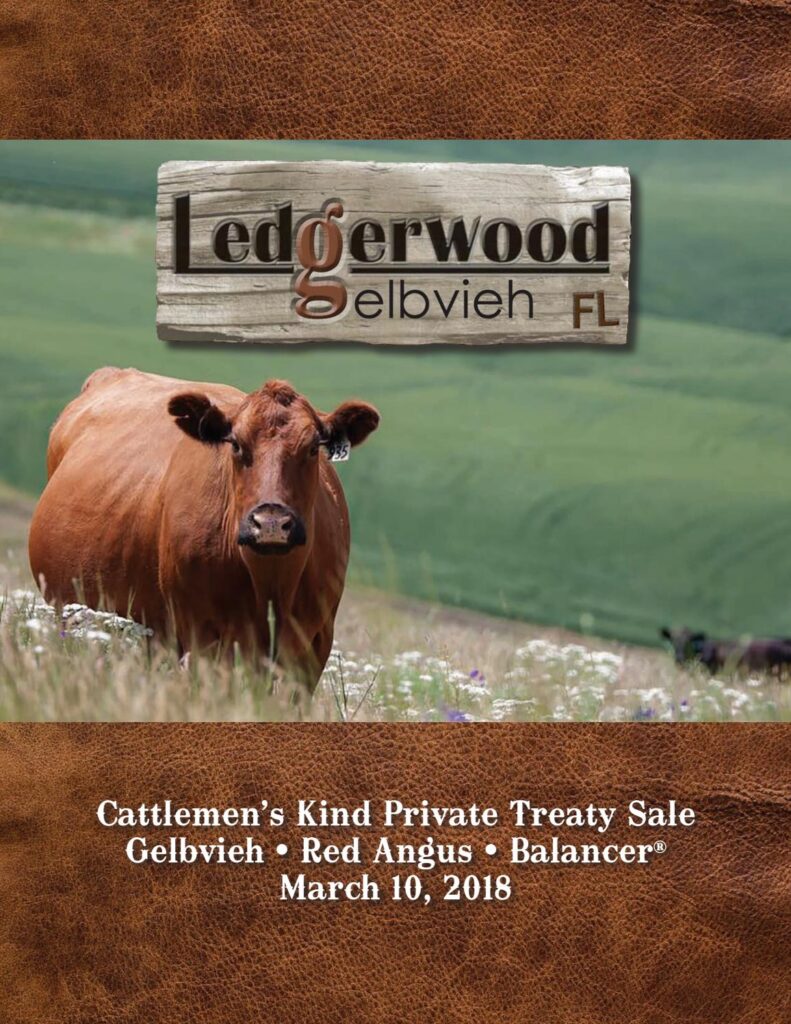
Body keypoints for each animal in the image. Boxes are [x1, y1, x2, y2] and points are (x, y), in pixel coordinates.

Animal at [28, 367, 380, 690]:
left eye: (312, 448)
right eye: (236, 444)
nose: (270, 523)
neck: (271, 585)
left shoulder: (314, 645)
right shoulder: (201, 636)